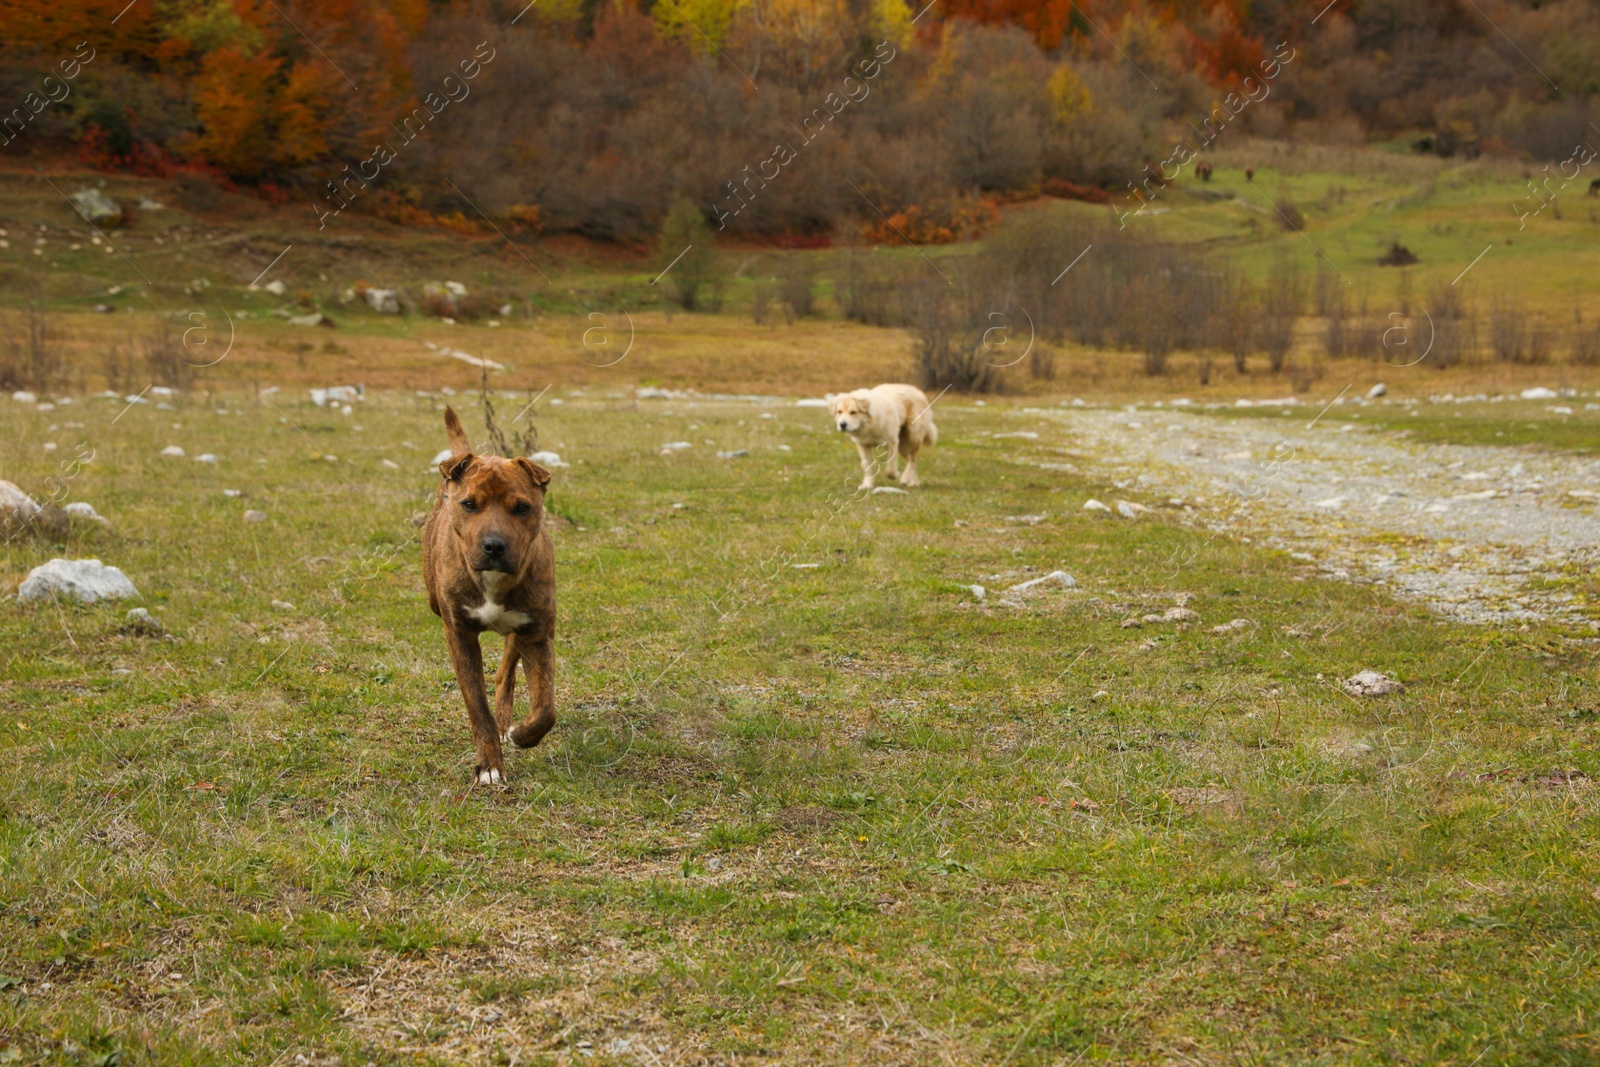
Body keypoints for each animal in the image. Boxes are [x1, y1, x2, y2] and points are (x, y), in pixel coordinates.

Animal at [422, 404, 560, 780]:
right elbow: (477, 707)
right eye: (470, 504)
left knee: (505, 672)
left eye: (522, 507)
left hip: (524, 628)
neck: (494, 582)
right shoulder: (459, 635)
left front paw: (522, 735)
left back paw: (507, 723)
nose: (494, 546)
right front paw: (488, 765)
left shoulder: (537, 634)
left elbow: (545, 707)